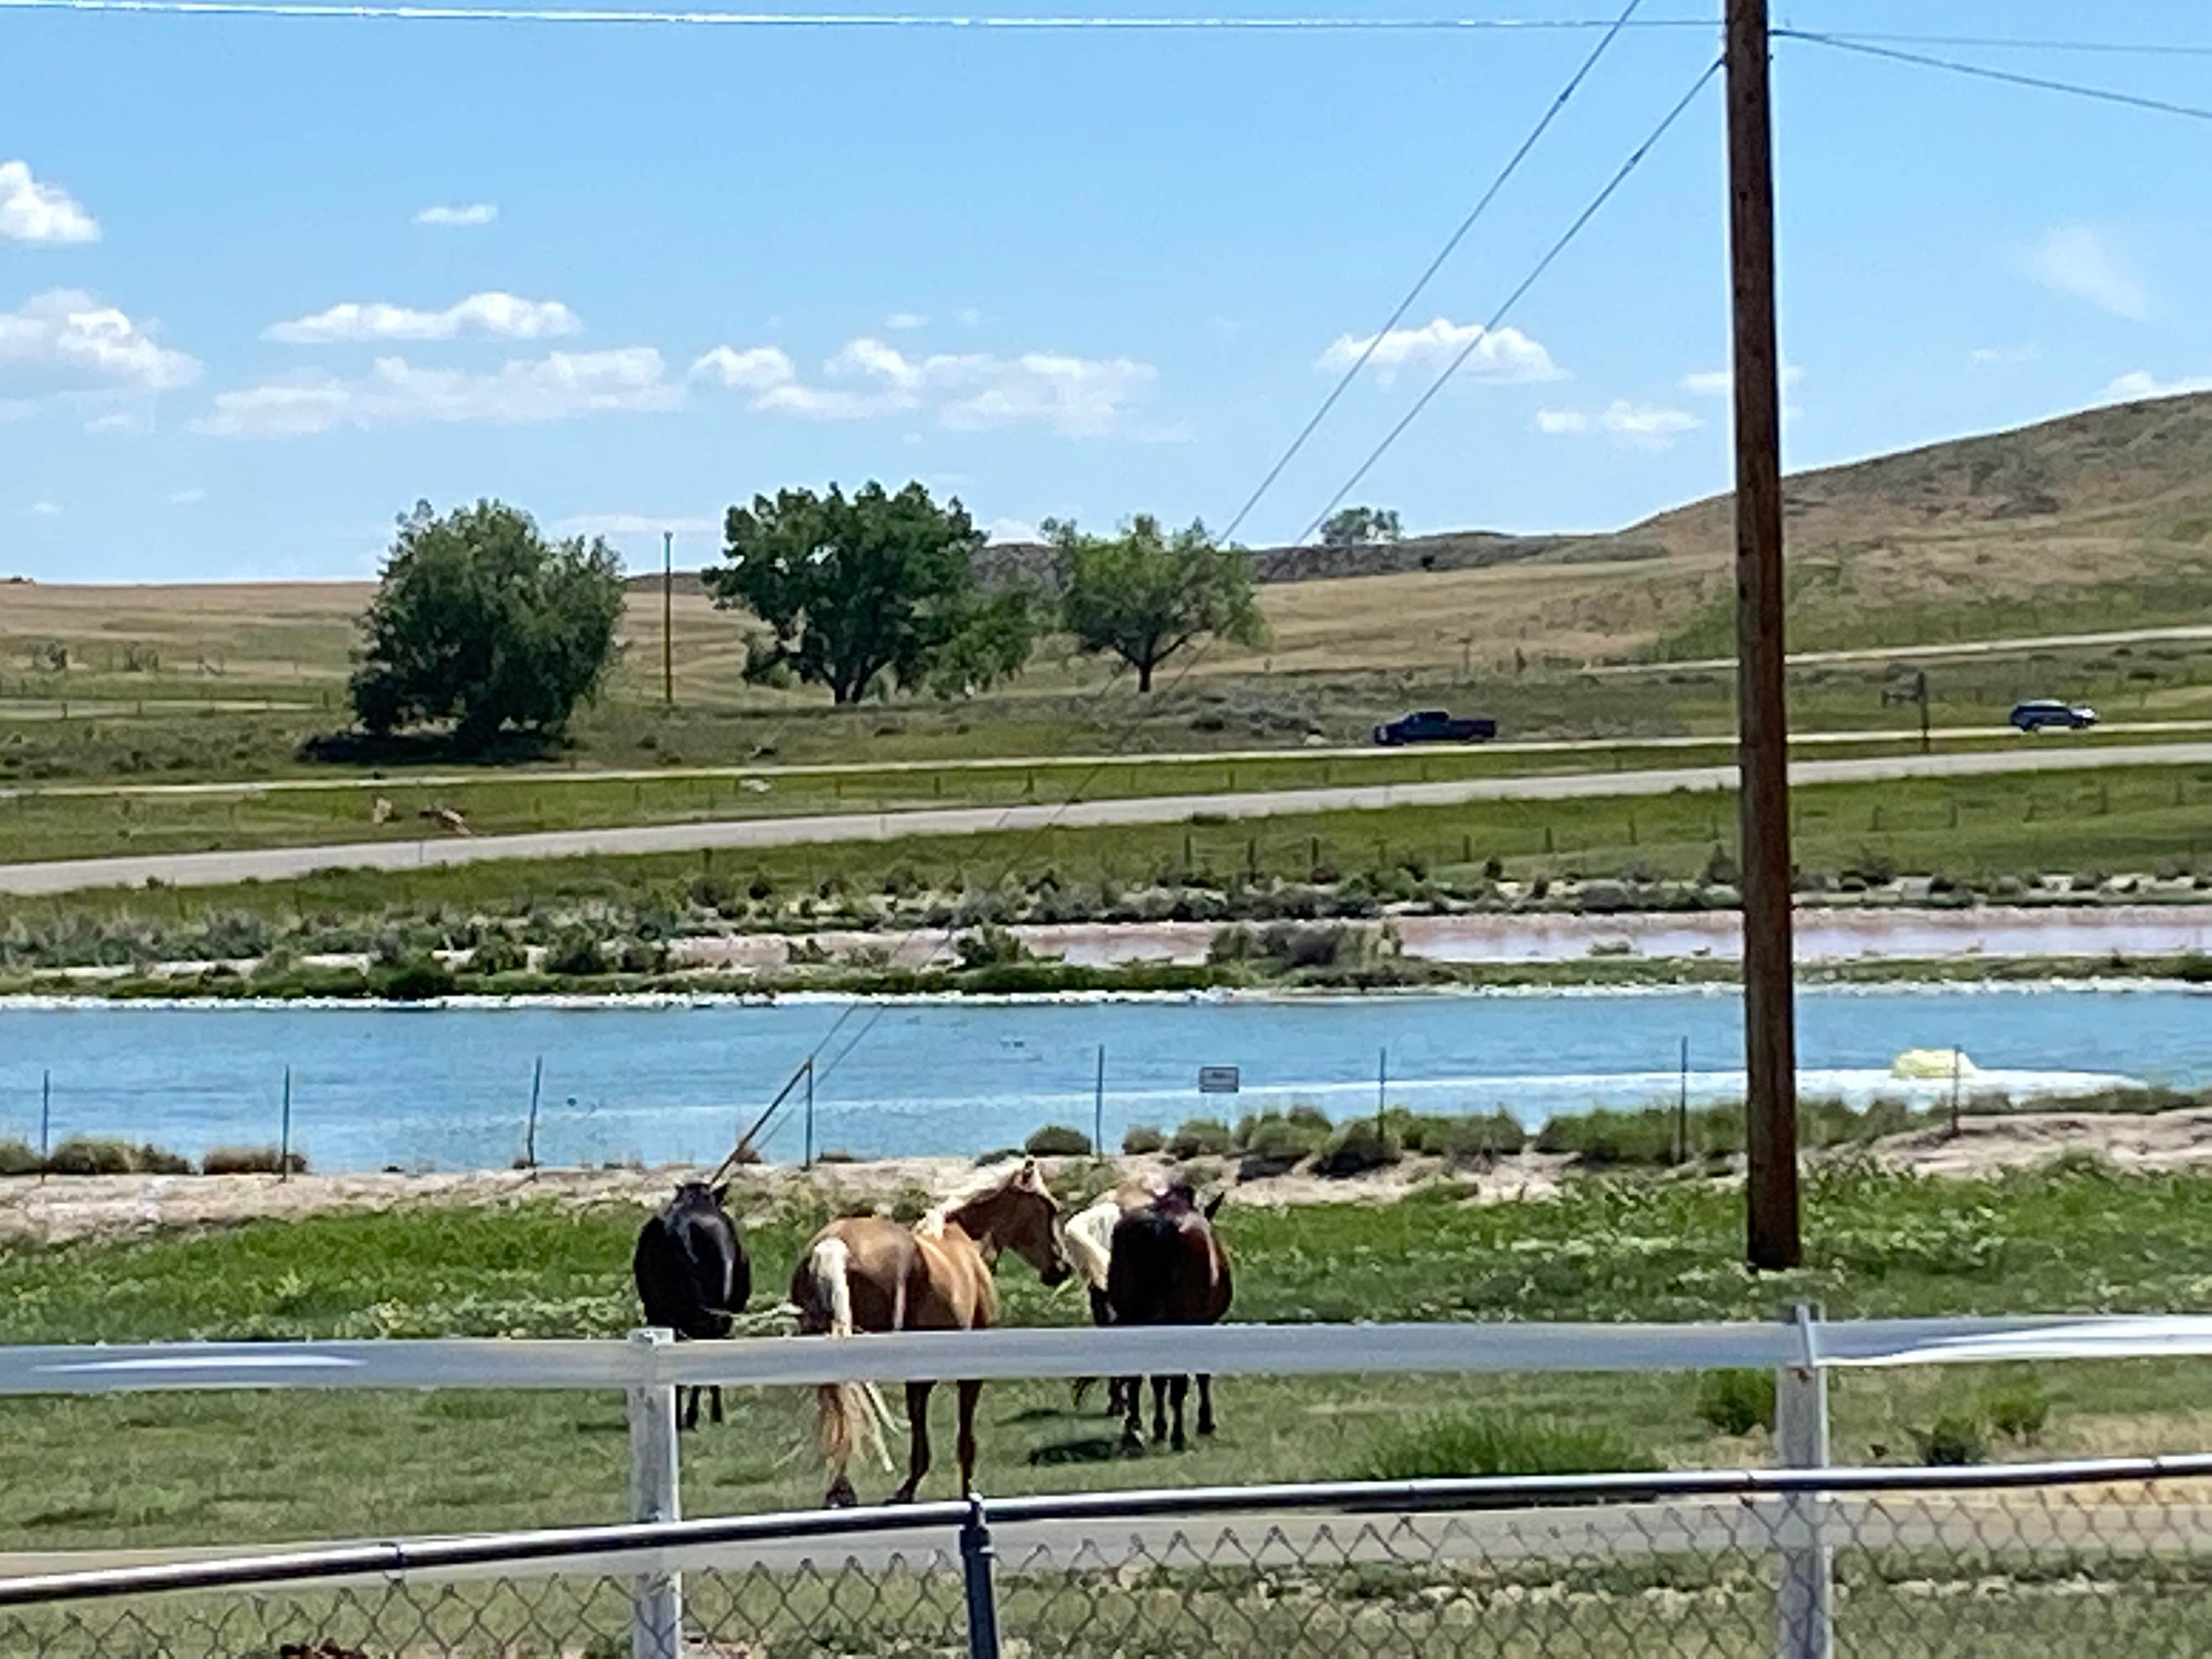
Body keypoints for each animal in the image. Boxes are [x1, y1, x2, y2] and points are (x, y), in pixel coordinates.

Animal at [791, 1157, 1072, 1507]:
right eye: (1051, 1208)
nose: (1062, 1268)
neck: (964, 1241)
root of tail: (833, 1244)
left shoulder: (918, 1378)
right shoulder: (967, 1375)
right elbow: (963, 1441)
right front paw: (962, 1492)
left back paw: (839, 1492)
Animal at [1105, 1182, 1232, 1451]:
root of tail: (1162, 1224)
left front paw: (1159, 1427)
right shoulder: (1203, 1324)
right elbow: (1200, 1375)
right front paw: (1205, 1422)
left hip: (1136, 1319)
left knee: (1139, 1376)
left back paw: (1136, 1427)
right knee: (1177, 1383)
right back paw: (1177, 1436)